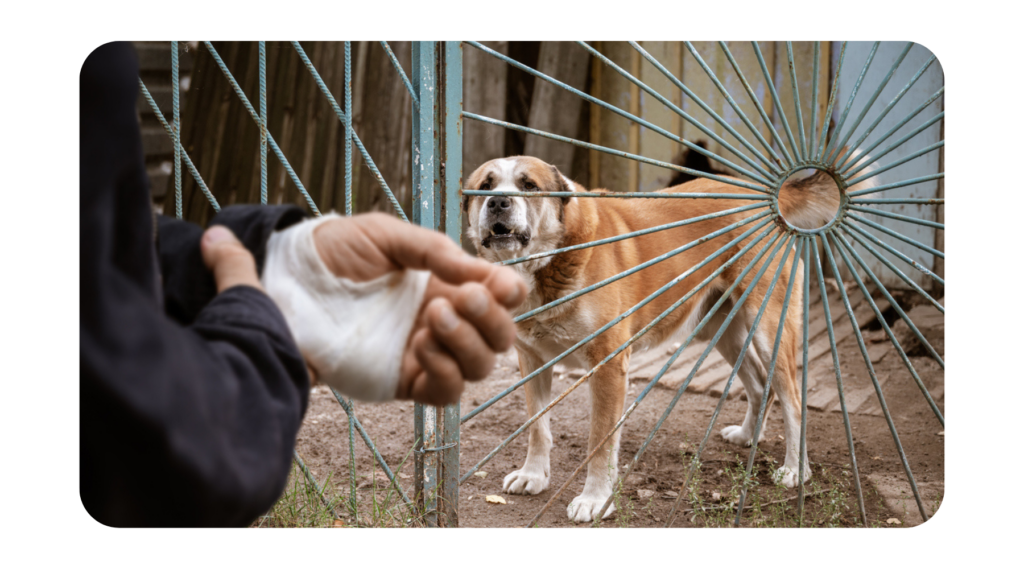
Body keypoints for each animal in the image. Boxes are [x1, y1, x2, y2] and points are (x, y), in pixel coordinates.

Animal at [464, 156, 872, 523]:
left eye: (529, 185)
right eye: (485, 186)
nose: (497, 202)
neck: (547, 264)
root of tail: (766, 198)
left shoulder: (608, 367)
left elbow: (600, 443)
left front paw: (595, 500)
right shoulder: (532, 360)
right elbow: (538, 427)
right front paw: (533, 475)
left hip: (769, 328)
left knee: (793, 400)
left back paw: (795, 470)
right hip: (723, 331)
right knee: (760, 386)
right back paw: (746, 436)